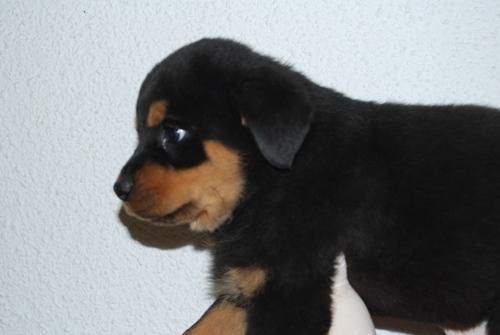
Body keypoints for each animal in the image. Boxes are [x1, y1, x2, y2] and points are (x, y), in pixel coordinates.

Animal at [113, 38, 500, 334]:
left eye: (174, 132)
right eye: (140, 132)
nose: (119, 189)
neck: (271, 184)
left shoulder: (291, 291)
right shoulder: (252, 286)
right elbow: (202, 325)